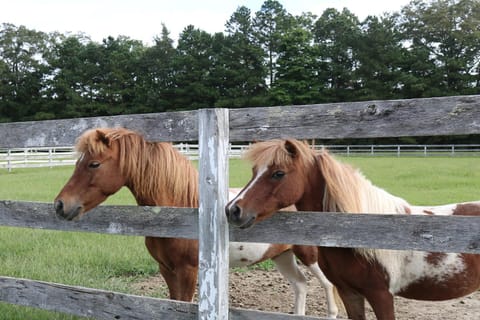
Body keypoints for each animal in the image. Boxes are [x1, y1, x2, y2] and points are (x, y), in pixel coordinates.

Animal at [54, 128, 340, 318]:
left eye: (94, 164)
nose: (60, 205)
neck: (181, 209)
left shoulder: (188, 271)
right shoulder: (166, 269)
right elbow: (173, 302)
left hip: (309, 254)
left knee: (326, 286)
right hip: (282, 256)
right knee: (300, 284)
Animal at [226, 139, 480, 320]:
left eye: (278, 173)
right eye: (253, 171)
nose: (232, 210)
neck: (357, 233)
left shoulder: (381, 295)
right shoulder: (350, 293)